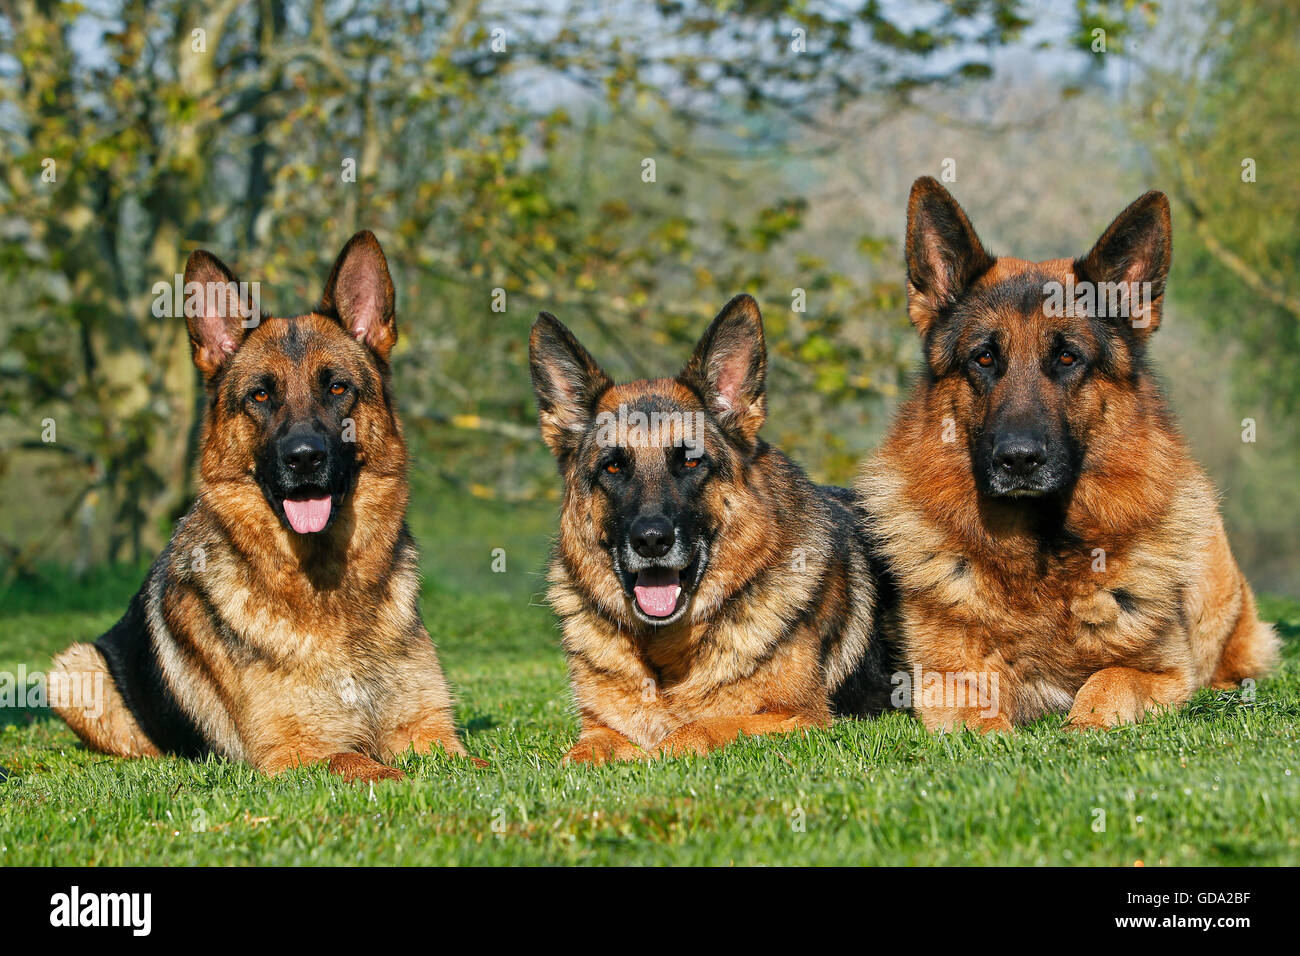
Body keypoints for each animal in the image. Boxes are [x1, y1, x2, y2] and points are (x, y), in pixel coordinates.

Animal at [53, 234, 478, 785]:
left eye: (337, 388)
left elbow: (478, 763)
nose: (304, 458)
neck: (325, 586)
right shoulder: (295, 750)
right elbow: (367, 764)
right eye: (260, 395)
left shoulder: (429, 732)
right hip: (74, 669)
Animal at [527, 295, 894, 764]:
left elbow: (700, 728)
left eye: (690, 461)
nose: (651, 541)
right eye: (612, 467)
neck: (665, 655)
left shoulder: (800, 718)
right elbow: (581, 754)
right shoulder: (599, 728)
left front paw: (659, 752)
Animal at [857, 178, 1274, 733]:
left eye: (1067, 357)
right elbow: (977, 718)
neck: (1042, 561)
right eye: (984, 358)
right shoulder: (944, 679)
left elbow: (1108, 683)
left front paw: (1083, 725)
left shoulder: (1160, 674)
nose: (1018, 459)